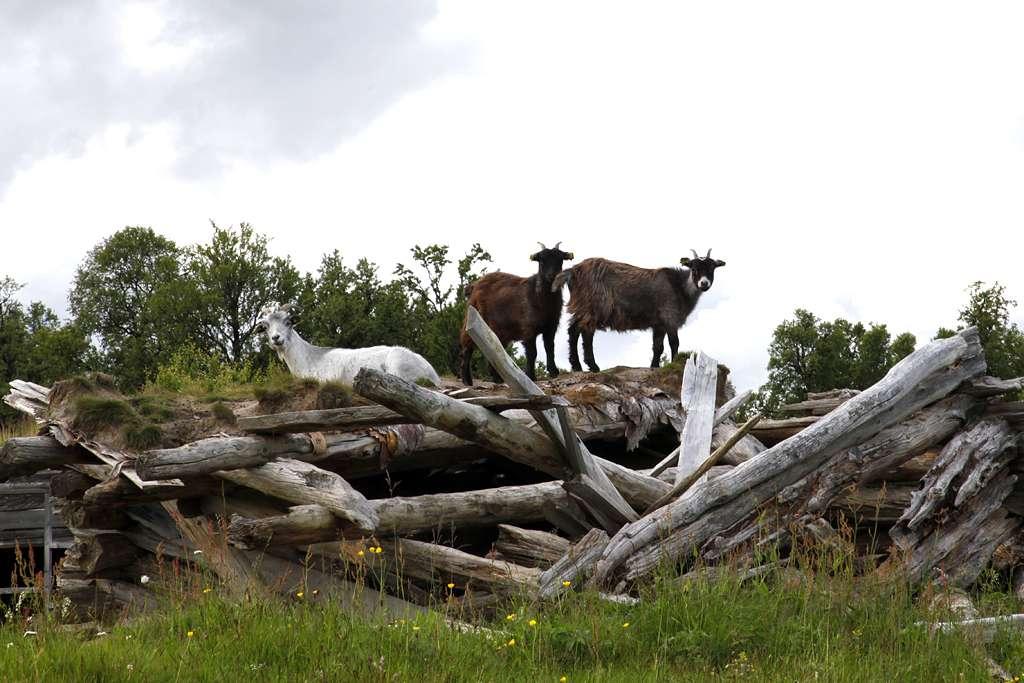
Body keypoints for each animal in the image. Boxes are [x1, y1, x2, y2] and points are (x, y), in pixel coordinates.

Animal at [256, 301, 440, 387]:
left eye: (288, 322)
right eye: (266, 327)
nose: (276, 338)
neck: (309, 358)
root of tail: (431, 372)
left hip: (397, 364)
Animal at [458, 244, 573, 385]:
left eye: (560, 260)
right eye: (541, 261)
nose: (552, 276)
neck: (540, 296)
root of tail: (474, 285)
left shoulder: (551, 326)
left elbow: (550, 348)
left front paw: (553, 371)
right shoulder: (528, 328)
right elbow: (532, 352)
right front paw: (531, 376)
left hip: (497, 330)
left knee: (494, 350)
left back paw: (498, 379)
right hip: (473, 319)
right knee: (467, 348)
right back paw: (467, 380)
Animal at [557, 249, 724, 370]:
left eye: (712, 269)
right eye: (694, 269)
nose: (704, 283)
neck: (679, 287)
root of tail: (572, 271)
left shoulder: (659, 324)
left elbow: (658, 347)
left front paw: (654, 366)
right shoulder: (670, 316)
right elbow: (674, 343)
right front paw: (674, 364)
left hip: (582, 307)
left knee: (573, 331)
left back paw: (577, 366)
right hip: (593, 306)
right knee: (586, 334)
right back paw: (592, 366)